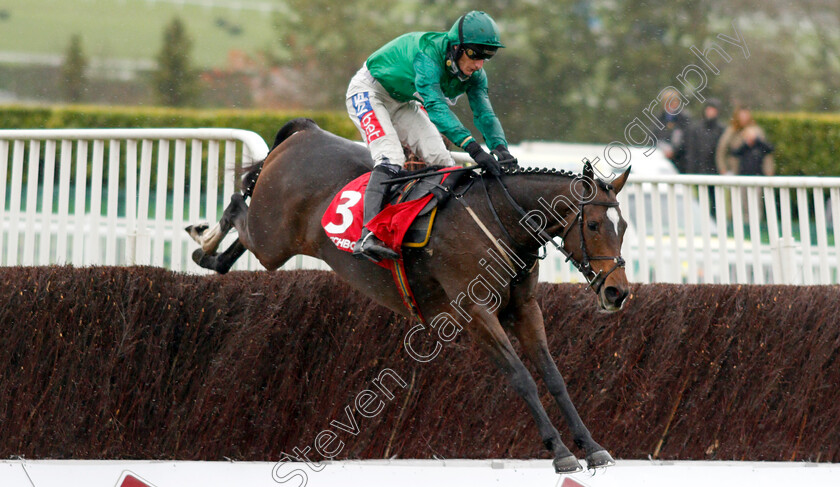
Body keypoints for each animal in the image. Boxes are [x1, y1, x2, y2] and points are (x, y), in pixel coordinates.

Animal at [185, 118, 632, 472]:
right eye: (594, 225)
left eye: (623, 226)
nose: (617, 292)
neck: (499, 219)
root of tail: (307, 132)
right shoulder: (474, 311)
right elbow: (521, 377)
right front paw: (559, 451)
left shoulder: (523, 308)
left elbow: (553, 376)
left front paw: (591, 446)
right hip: (272, 238)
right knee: (235, 206)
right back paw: (201, 237)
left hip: (273, 242)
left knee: (228, 252)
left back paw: (210, 253)